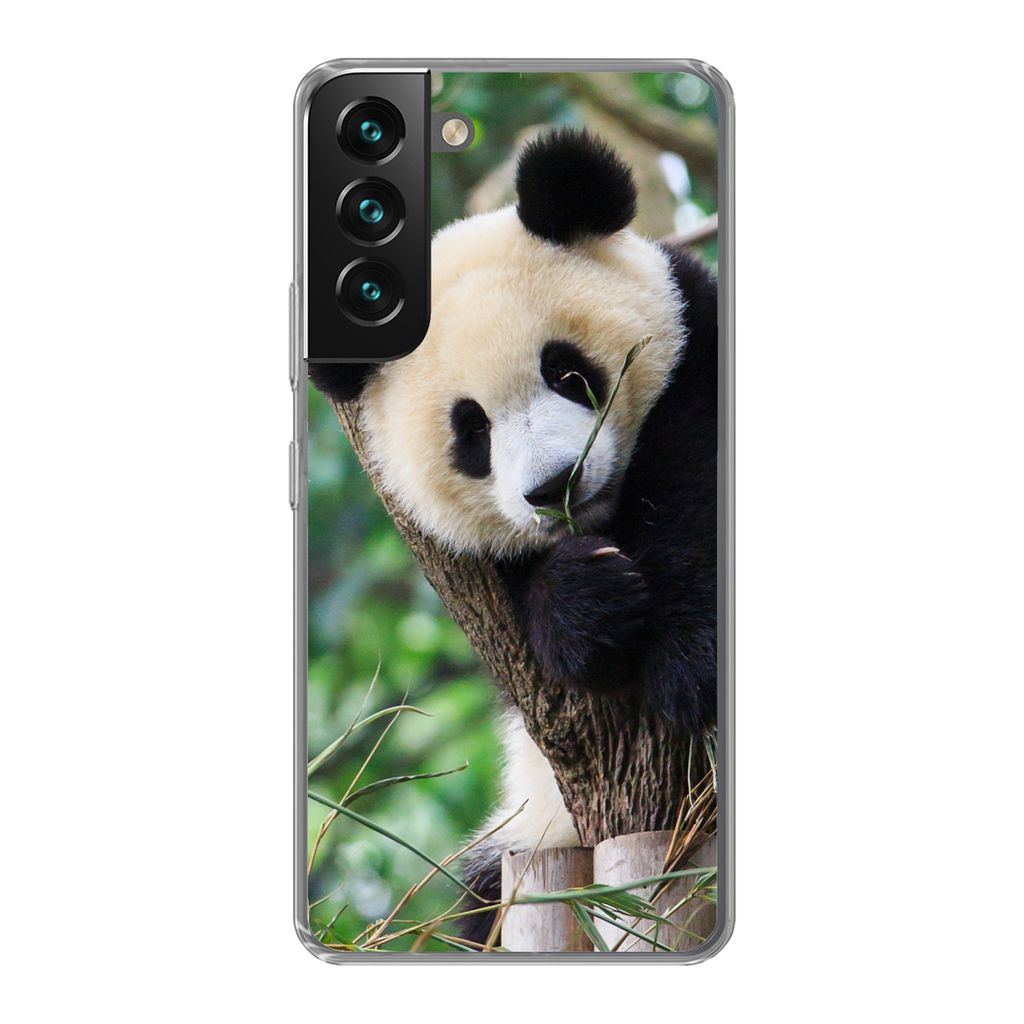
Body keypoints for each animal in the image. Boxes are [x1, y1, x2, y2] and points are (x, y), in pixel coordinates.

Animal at [310, 129, 717, 946]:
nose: (555, 485)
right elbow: (519, 630)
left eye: (566, 370)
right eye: (472, 431)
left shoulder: (702, 346)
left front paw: (689, 664)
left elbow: (696, 482)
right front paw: (586, 603)